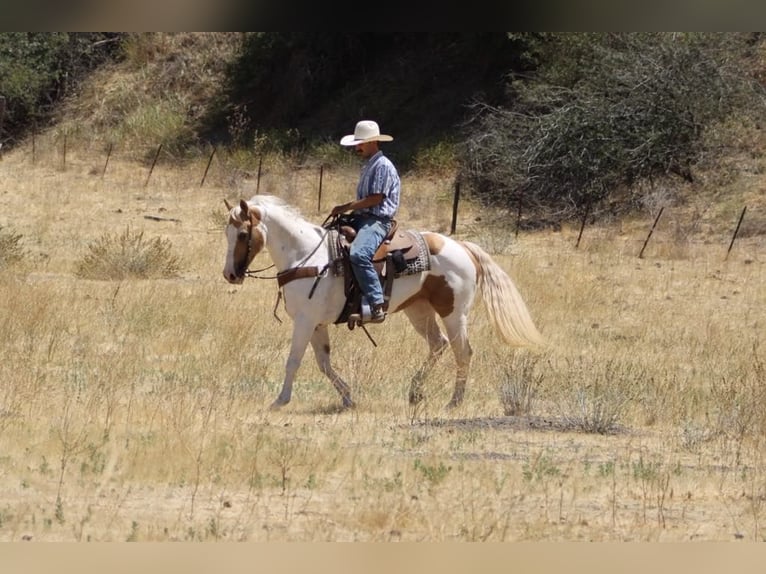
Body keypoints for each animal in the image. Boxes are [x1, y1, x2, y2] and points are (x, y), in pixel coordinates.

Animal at [222, 195, 543, 411]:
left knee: (462, 352)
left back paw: (454, 402)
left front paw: (280, 400)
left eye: (243, 233)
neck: (306, 255)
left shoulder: (304, 321)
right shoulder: (316, 323)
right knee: (438, 344)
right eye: (227, 233)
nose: (230, 274)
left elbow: (294, 361)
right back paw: (415, 392)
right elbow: (324, 363)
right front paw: (348, 397)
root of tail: (462, 246)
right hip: (419, 310)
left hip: (453, 313)